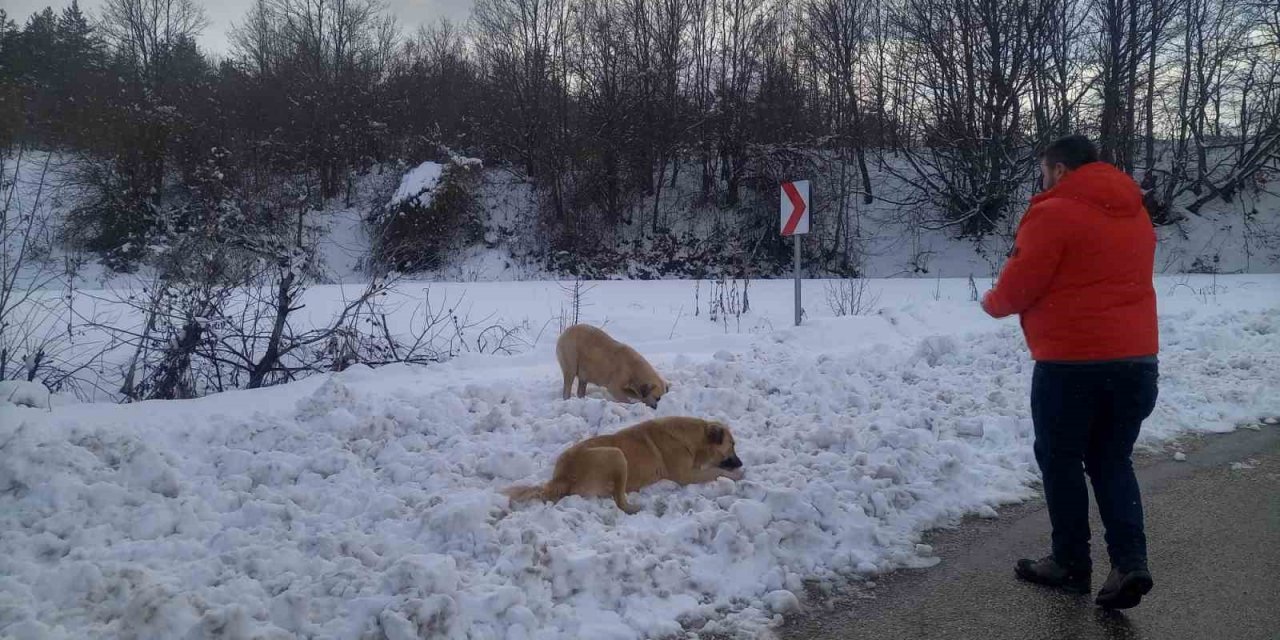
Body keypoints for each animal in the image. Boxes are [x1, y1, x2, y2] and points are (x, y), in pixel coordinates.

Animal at [499, 414, 742, 514]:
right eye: (732, 445)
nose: (740, 463)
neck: (690, 438)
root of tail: (562, 477)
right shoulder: (685, 476)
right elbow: (714, 471)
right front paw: (737, 476)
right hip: (616, 454)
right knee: (619, 500)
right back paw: (634, 507)